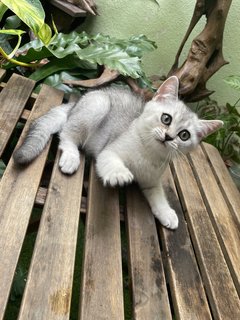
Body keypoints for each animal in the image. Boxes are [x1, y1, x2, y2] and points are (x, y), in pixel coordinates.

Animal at [13, 76, 223, 229]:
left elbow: (158, 197)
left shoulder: (152, 182)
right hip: (98, 105)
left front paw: (167, 213)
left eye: (184, 135)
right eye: (166, 118)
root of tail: (77, 102)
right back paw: (71, 157)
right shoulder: (109, 152)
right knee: (66, 135)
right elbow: (112, 162)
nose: (169, 137)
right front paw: (119, 174)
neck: (148, 153)